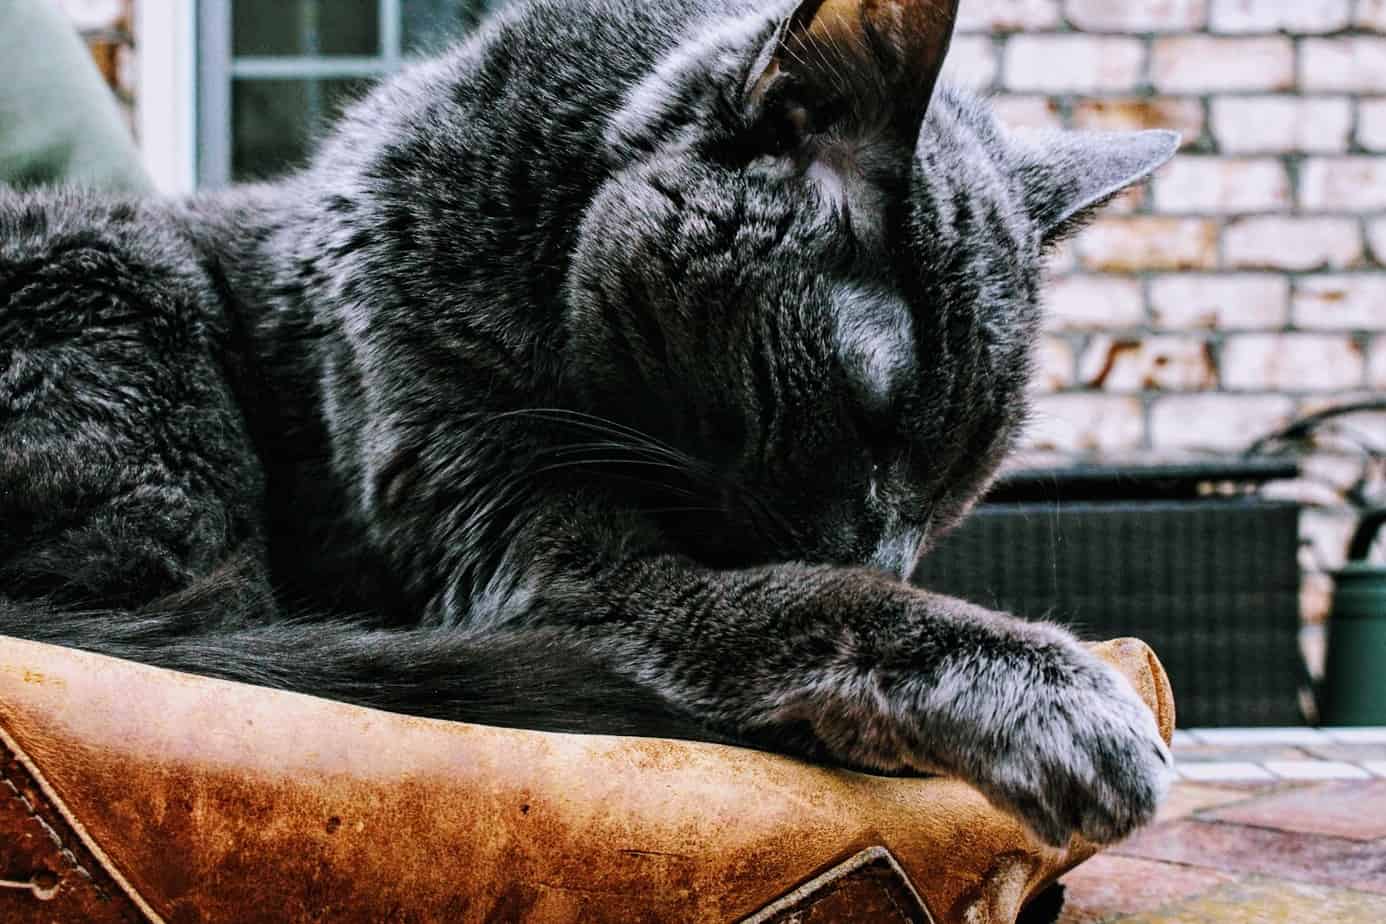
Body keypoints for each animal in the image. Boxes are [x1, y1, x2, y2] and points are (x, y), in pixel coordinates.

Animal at [0, 0, 1175, 847]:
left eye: (957, 492)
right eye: (870, 409)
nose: (885, 554)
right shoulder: (532, 559)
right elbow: (802, 601)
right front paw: (1061, 702)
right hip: (127, 295)